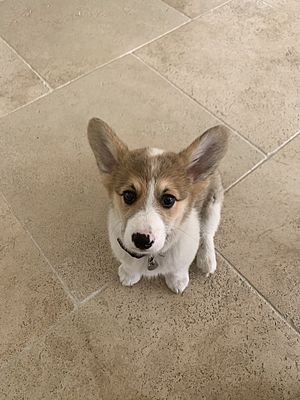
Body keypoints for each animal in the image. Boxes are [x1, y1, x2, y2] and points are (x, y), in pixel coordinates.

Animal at [88, 117, 229, 292]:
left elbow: (178, 268)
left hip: (213, 206)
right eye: (128, 195)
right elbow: (129, 266)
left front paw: (177, 281)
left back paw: (207, 259)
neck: (151, 257)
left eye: (168, 199)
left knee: (207, 233)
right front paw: (129, 275)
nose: (142, 240)